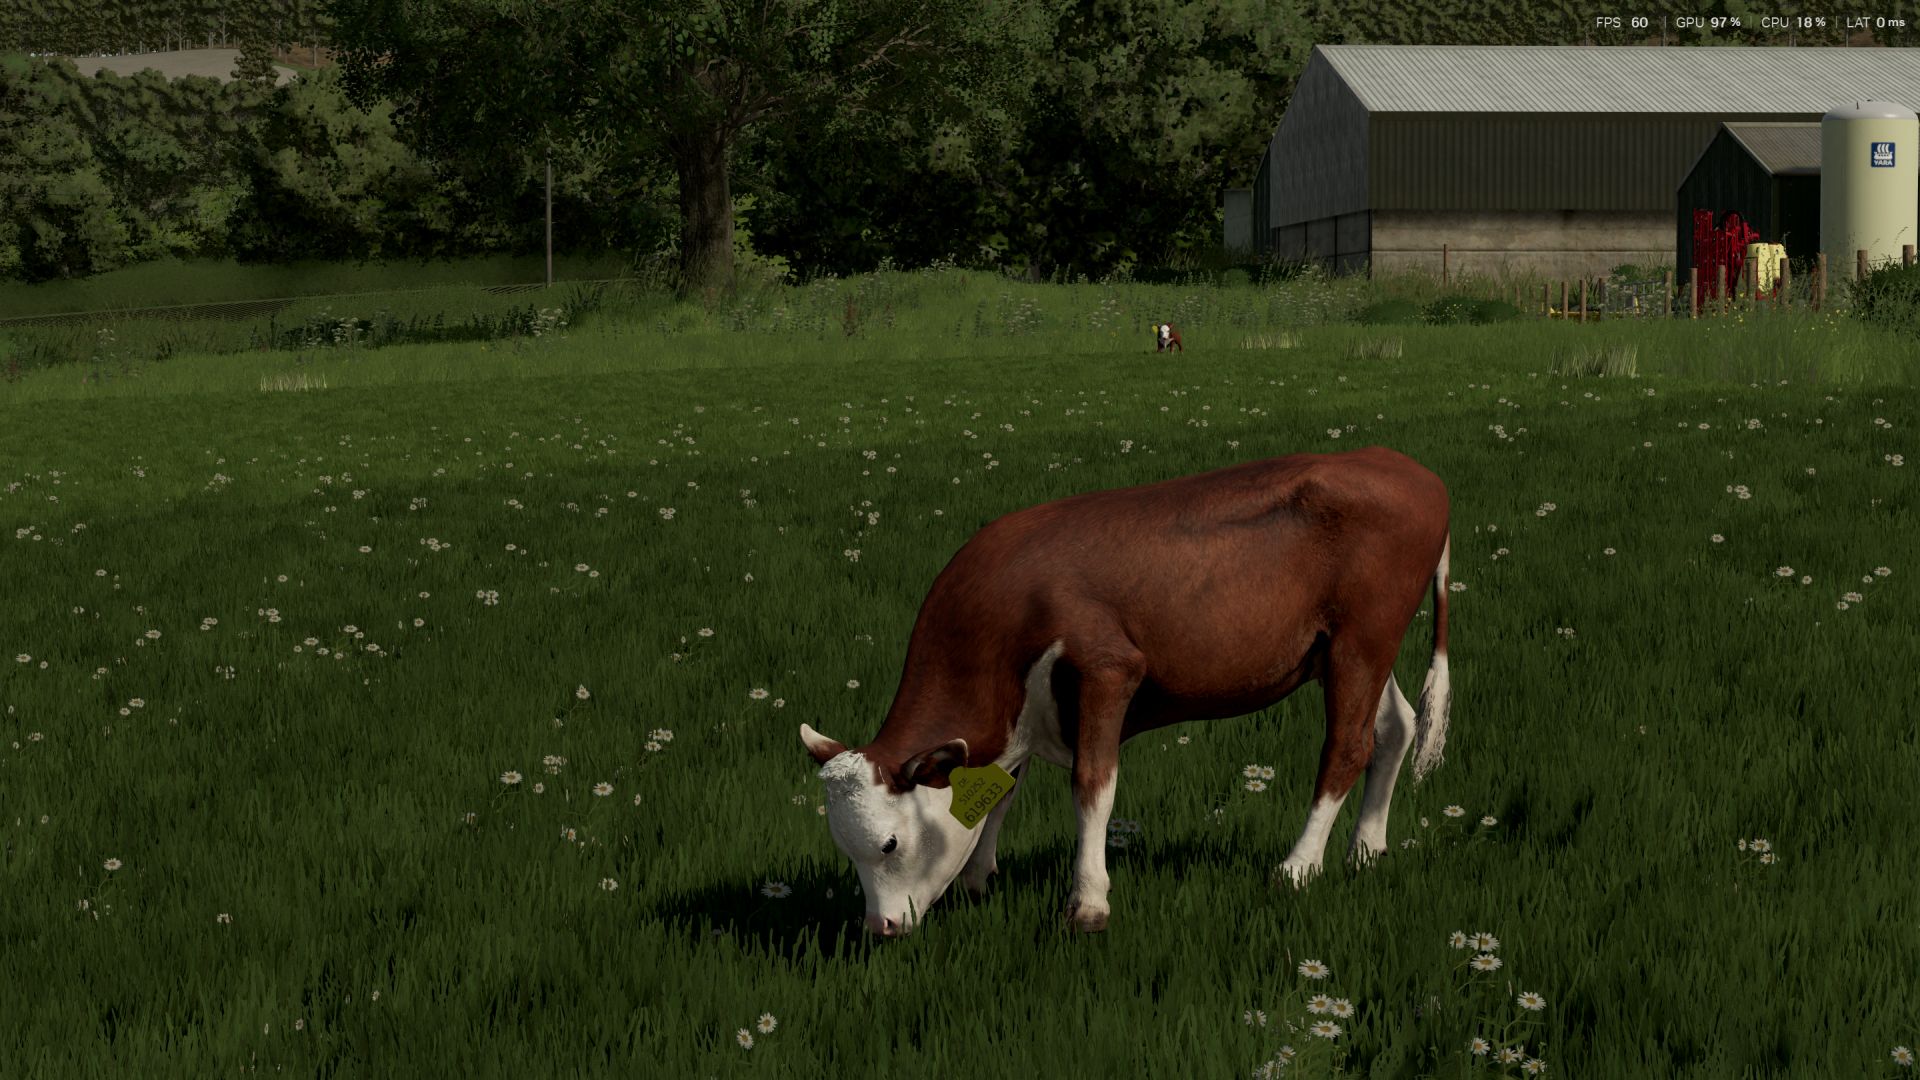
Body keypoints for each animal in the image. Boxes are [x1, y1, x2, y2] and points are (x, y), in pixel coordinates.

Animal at [799, 447, 1452, 937]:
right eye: (844, 850)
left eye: (889, 844)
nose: (879, 928)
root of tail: (1405, 466)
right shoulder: (1020, 714)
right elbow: (1002, 793)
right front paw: (978, 879)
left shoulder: (1108, 669)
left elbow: (1092, 787)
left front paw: (1088, 904)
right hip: (1352, 649)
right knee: (1393, 728)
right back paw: (1366, 852)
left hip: (1362, 639)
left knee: (1346, 747)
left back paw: (1297, 868)